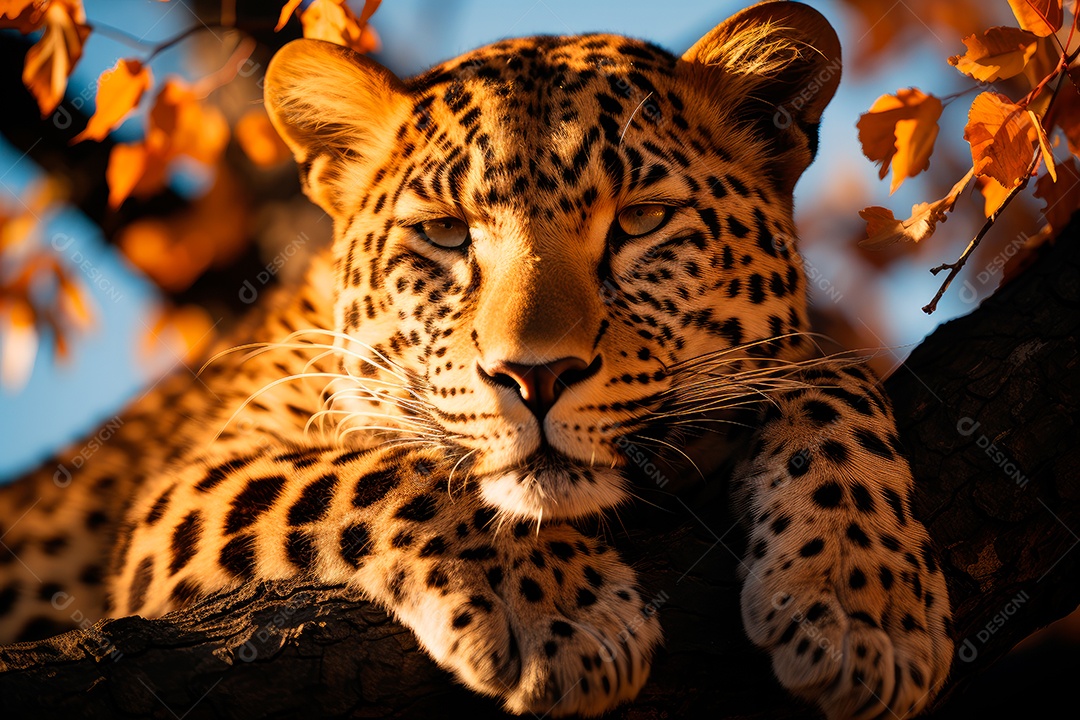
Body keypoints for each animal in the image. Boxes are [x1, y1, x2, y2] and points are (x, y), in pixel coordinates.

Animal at [0, 2, 954, 718]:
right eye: (446, 234)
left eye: (640, 221)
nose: (536, 377)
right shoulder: (176, 501)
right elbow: (390, 467)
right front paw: (563, 616)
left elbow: (828, 376)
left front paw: (864, 606)